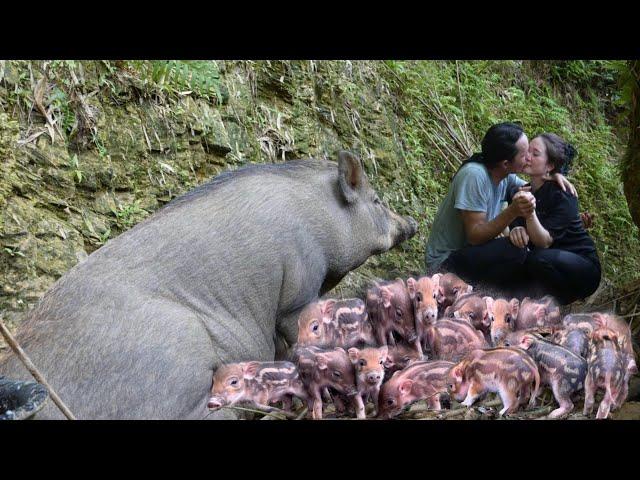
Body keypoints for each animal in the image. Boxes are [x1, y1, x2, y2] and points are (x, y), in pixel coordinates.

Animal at [0, 152, 418, 418]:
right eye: (376, 201)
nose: (412, 223)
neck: (322, 222)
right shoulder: (297, 292)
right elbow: (302, 336)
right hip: (175, 352)